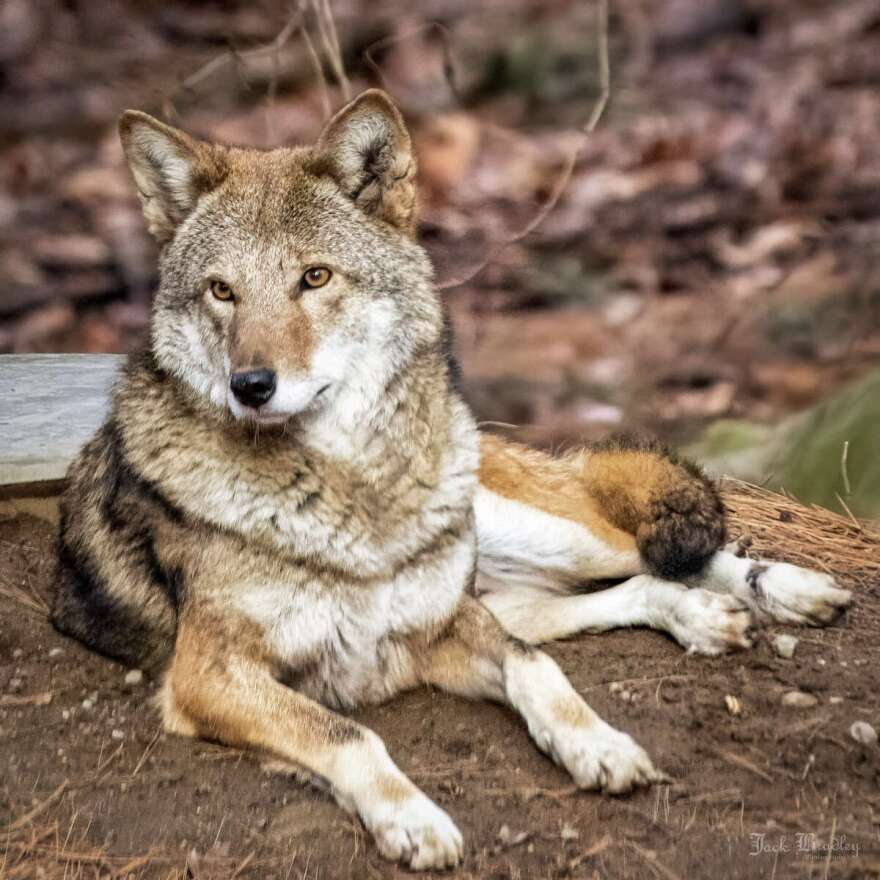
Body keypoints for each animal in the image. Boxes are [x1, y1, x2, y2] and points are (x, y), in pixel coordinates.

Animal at [51, 89, 852, 870]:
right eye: (222, 291)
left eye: (314, 278)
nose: (250, 386)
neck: (355, 498)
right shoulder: (211, 676)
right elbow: (350, 735)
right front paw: (414, 820)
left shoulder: (441, 626)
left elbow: (537, 672)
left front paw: (597, 744)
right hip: (503, 587)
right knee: (631, 587)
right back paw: (702, 616)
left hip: (533, 539)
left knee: (653, 550)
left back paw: (789, 590)